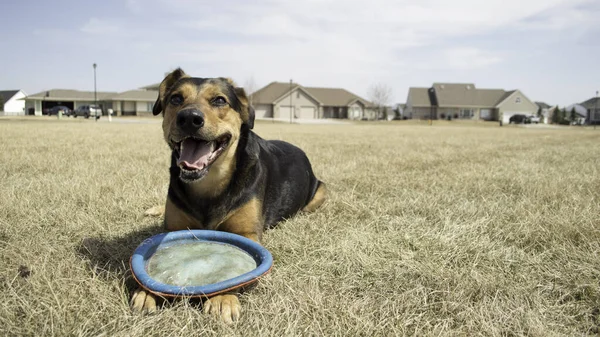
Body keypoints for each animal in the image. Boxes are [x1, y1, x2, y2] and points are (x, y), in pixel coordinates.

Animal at [130, 69, 328, 322]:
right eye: (175, 98)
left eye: (219, 100)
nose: (189, 118)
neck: (209, 181)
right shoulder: (172, 227)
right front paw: (147, 291)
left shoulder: (247, 233)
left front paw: (222, 297)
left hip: (320, 191)